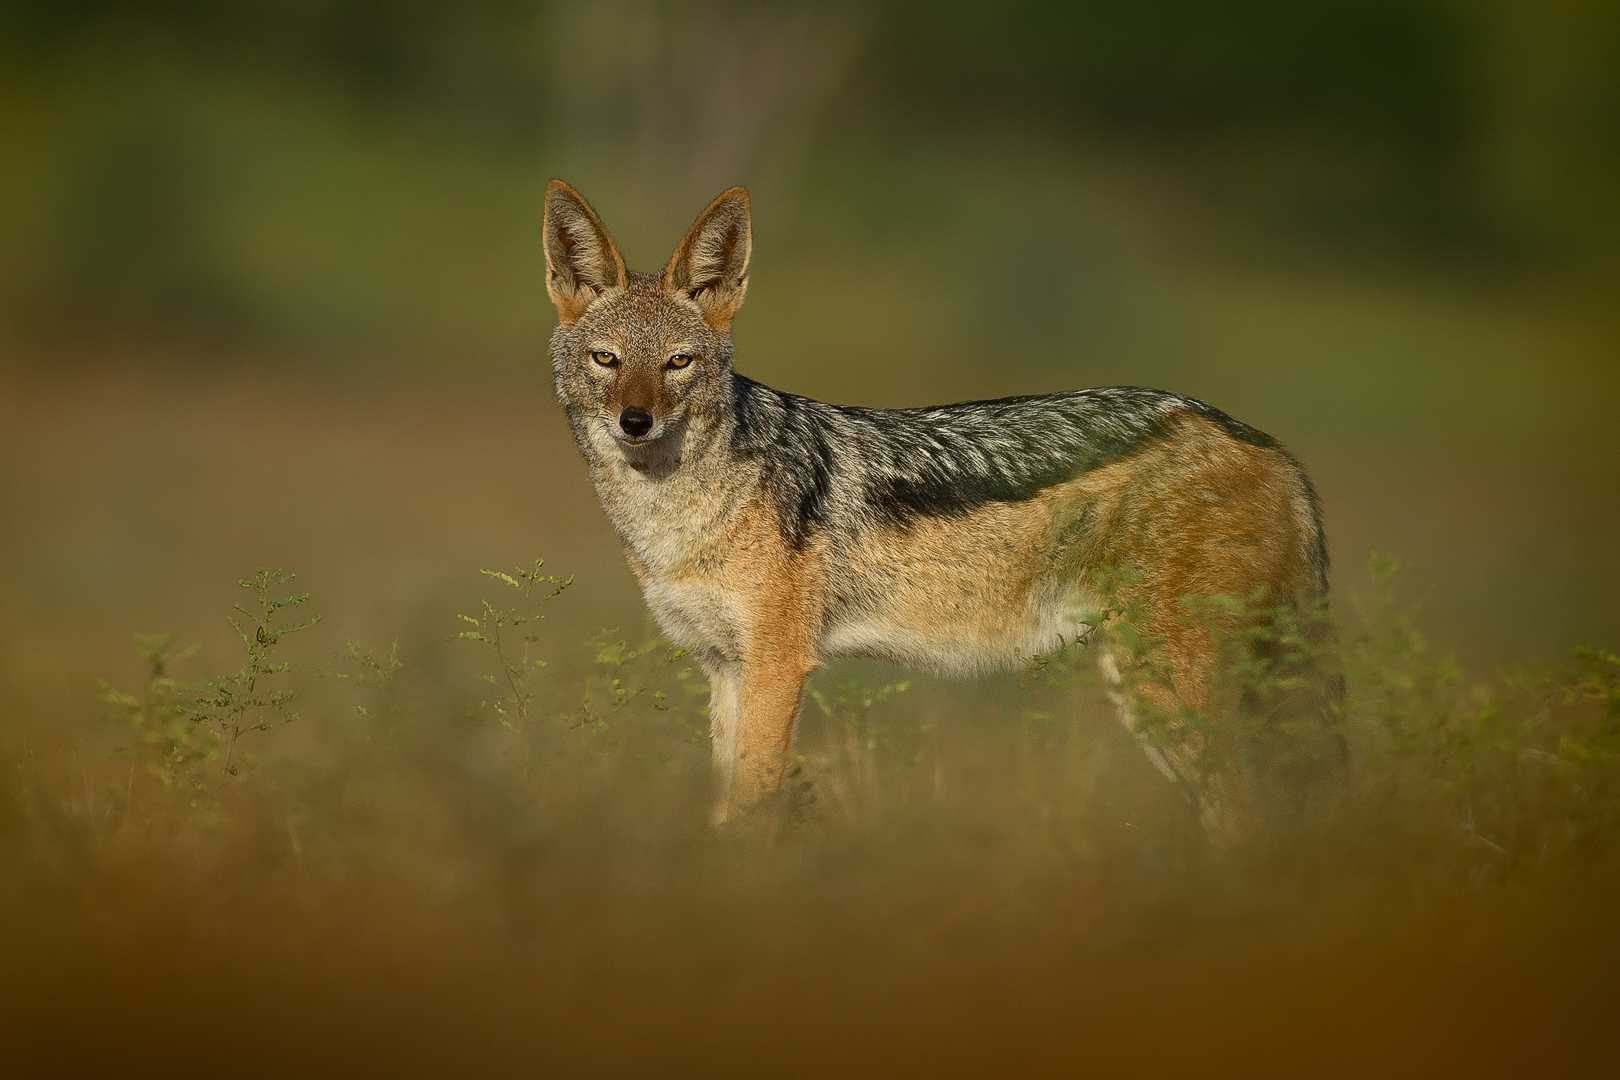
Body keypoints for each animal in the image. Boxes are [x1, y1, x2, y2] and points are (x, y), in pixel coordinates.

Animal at [542, 179, 1339, 837]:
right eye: (607, 360)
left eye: (678, 362)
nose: (635, 422)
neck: (676, 517)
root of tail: (1270, 446)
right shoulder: (723, 668)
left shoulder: (777, 665)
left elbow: (750, 815)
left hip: (1166, 687)